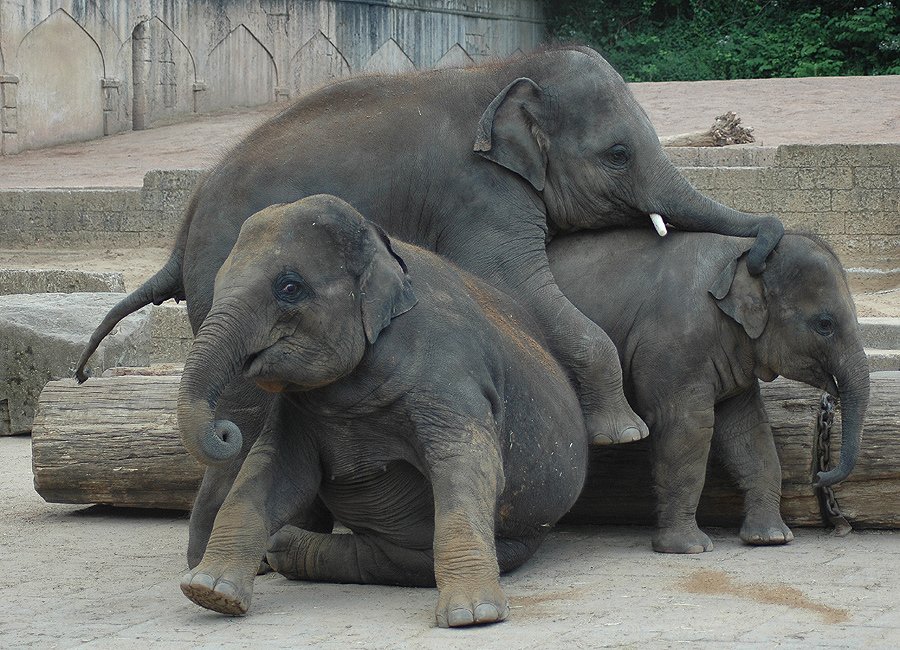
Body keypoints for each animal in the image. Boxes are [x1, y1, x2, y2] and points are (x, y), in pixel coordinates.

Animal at [75, 45, 780, 568]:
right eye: (618, 153)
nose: (769, 240)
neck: (506, 71)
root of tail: (182, 229)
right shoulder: (480, 193)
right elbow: (518, 284)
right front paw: (623, 432)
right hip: (226, 286)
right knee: (244, 414)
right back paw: (219, 560)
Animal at [177, 195, 592, 624]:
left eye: (289, 287)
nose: (225, 430)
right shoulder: (295, 408)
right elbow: (273, 471)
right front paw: (210, 592)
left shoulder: (450, 374)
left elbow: (468, 463)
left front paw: (473, 616)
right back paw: (281, 549)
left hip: (523, 536)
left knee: (407, 562)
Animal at [544, 228, 868, 552]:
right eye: (825, 325)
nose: (819, 475)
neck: (742, 251)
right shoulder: (675, 347)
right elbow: (687, 428)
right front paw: (689, 547)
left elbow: (748, 429)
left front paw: (771, 537)